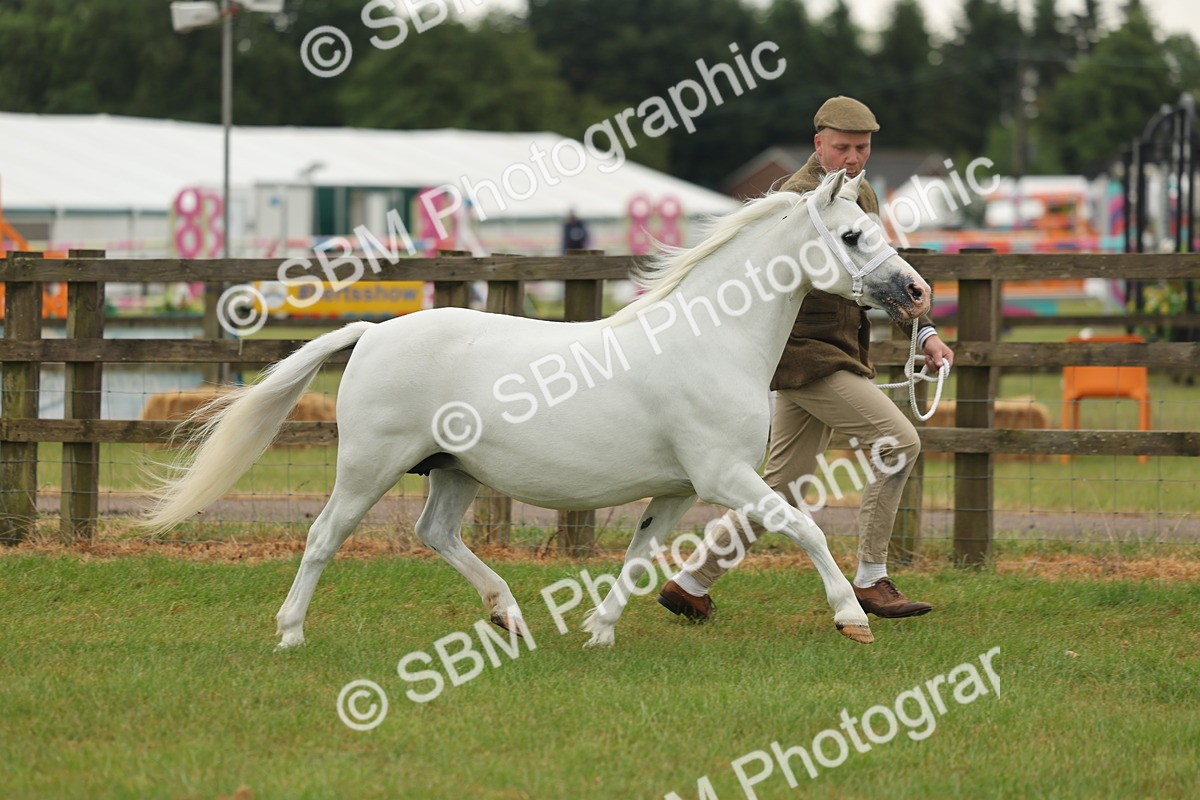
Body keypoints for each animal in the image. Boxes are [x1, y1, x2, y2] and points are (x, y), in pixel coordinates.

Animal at [142, 169, 931, 650]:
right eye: (853, 235)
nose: (917, 292)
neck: (711, 341)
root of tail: (372, 332)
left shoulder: (678, 490)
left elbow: (640, 557)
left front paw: (599, 630)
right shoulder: (725, 477)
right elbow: (807, 529)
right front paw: (852, 618)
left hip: (453, 470)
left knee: (435, 534)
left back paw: (508, 614)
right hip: (370, 466)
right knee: (323, 537)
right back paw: (292, 633)